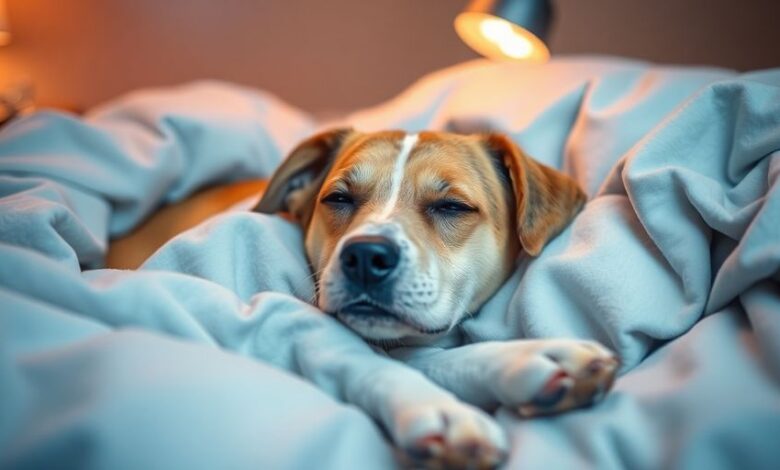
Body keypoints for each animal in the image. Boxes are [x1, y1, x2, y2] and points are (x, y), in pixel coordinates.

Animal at [253, 127, 620, 466]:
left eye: (452, 206)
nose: (366, 257)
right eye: (338, 198)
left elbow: (432, 357)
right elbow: (369, 357)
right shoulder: (283, 314)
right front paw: (441, 410)